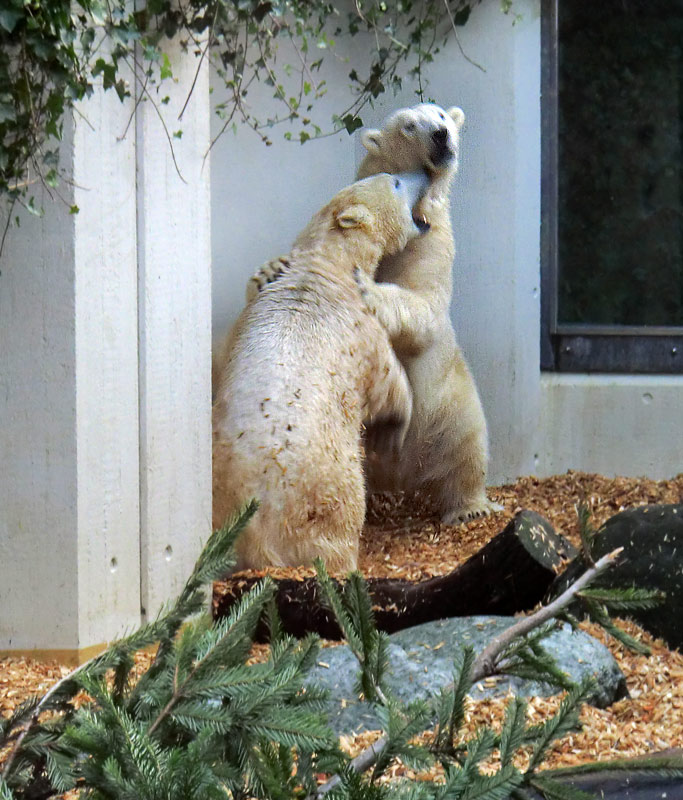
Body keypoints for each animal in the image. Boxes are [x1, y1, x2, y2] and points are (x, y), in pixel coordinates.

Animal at [211, 172, 430, 572]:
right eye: (395, 181)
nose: (423, 175)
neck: (326, 264)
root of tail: (259, 537)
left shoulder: (241, 322)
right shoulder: (363, 328)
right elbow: (390, 385)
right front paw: (392, 436)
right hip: (331, 491)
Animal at [356, 101, 500, 524]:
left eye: (440, 114)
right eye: (408, 125)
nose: (441, 134)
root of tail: (403, 477)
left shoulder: (430, 245)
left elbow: (421, 306)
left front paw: (369, 291)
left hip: (452, 408)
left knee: (468, 449)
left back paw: (470, 508)